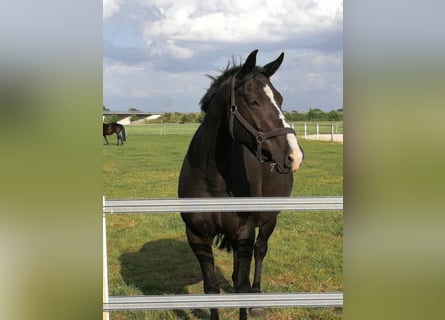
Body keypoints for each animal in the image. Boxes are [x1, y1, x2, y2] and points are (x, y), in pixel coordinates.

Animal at [177, 50, 302, 320]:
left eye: (280, 99)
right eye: (253, 101)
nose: (294, 155)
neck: (211, 176)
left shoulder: (245, 231)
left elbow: (242, 288)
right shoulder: (197, 235)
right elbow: (211, 289)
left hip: (268, 220)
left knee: (260, 251)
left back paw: (257, 300)